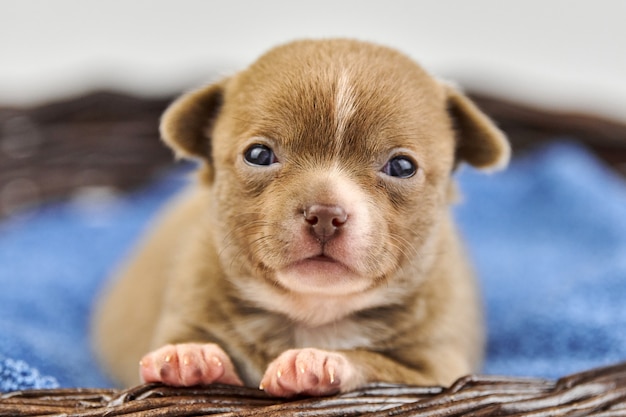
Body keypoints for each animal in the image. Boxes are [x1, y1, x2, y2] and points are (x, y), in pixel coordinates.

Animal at [91, 39, 508, 396]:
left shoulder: (437, 371)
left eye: (402, 166)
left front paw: (320, 361)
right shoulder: (184, 311)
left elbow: (374, 362)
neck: (313, 313)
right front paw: (188, 355)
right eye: (259, 155)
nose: (325, 214)